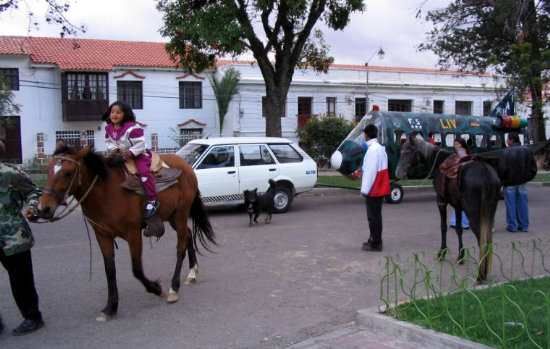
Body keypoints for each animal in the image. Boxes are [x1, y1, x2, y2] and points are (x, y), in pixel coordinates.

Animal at [37, 145, 216, 320]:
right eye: (48, 169)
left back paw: (173, 288)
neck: (106, 190)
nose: (43, 208)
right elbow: (109, 269)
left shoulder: (133, 233)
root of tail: (186, 165)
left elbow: (136, 269)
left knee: (180, 246)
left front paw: (156, 288)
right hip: (172, 216)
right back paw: (192, 273)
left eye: (68, 172)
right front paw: (110, 307)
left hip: (181, 213)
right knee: (187, 235)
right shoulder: (102, 235)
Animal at [396, 135, 500, 282]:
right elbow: (458, 229)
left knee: (482, 239)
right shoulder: (458, 205)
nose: (398, 173)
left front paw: (441, 253)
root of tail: (486, 174)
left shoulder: (441, 201)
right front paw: (461, 256)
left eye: (408, 152)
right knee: (488, 239)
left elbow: (443, 227)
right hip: (490, 211)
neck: (438, 163)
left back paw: (480, 275)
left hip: (474, 213)